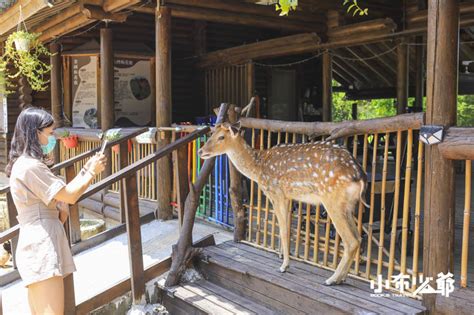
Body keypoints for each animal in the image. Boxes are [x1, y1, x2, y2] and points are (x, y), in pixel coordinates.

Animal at [198, 123, 368, 286]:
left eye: (221, 137)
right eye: (211, 134)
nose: (200, 151)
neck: (258, 168)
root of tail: (360, 176)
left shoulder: (276, 193)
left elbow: (284, 230)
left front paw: (284, 266)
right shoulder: (287, 197)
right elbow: (285, 230)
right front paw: (284, 261)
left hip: (332, 200)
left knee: (351, 240)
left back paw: (332, 279)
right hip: (347, 205)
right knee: (358, 238)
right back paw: (342, 278)